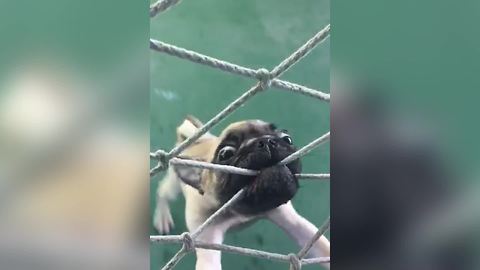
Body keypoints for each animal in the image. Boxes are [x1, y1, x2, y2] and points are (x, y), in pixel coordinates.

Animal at [154, 116, 330, 270]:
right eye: (225, 154)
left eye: (287, 139)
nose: (265, 141)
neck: (241, 211)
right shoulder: (207, 240)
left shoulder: (294, 223)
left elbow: (321, 246)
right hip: (173, 186)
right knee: (162, 193)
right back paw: (162, 216)